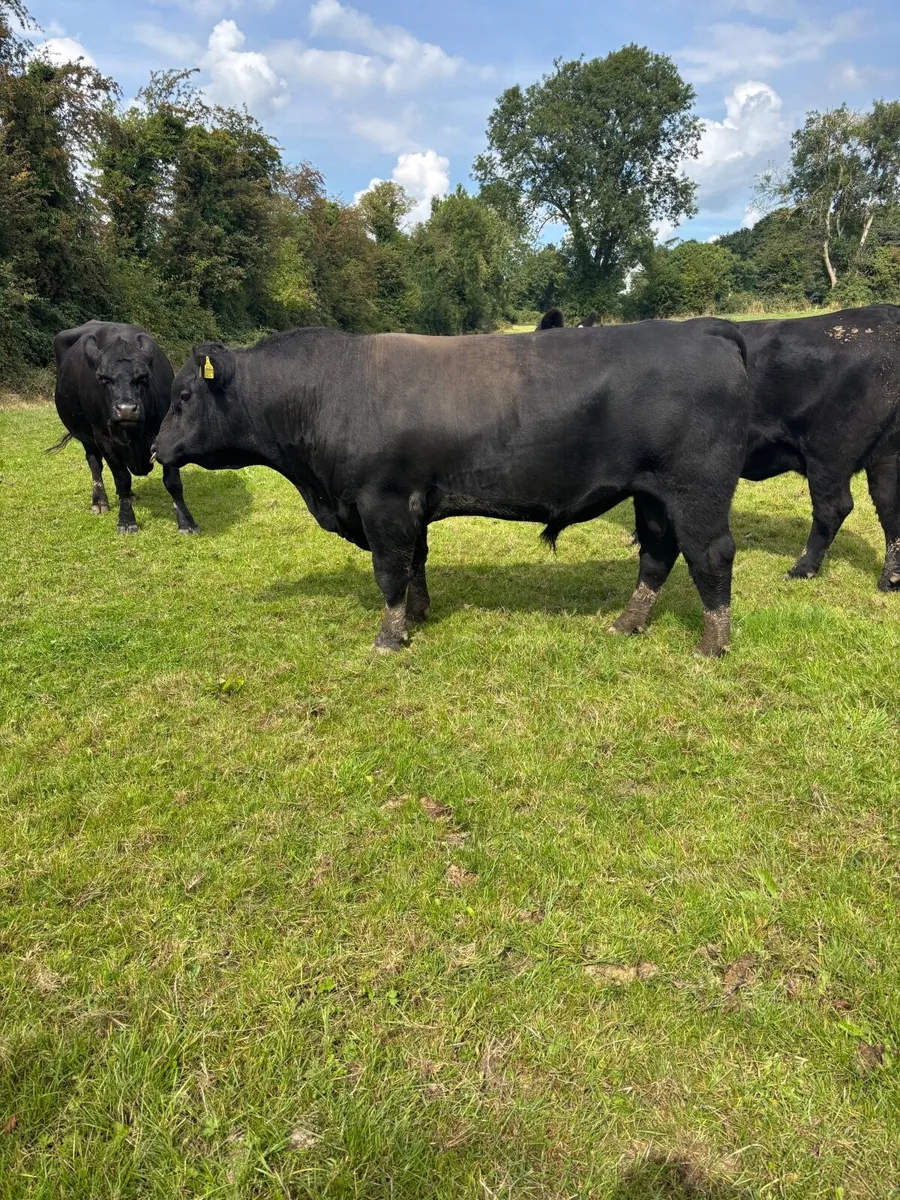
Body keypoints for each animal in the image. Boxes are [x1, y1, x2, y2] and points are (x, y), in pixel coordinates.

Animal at [50, 321, 199, 535]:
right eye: (103, 378)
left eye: (143, 377)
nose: (126, 409)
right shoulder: (104, 439)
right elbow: (122, 478)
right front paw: (126, 521)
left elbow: (173, 482)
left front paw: (186, 522)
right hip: (86, 437)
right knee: (95, 464)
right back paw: (100, 501)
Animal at [153, 321, 750, 656]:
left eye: (183, 396)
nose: (156, 448)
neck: (330, 391)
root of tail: (704, 331)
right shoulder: (410, 504)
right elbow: (416, 561)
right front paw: (416, 616)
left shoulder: (383, 501)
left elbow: (390, 570)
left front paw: (389, 638)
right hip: (652, 495)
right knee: (657, 553)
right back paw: (627, 624)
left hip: (695, 489)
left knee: (711, 554)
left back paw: (712, 644)